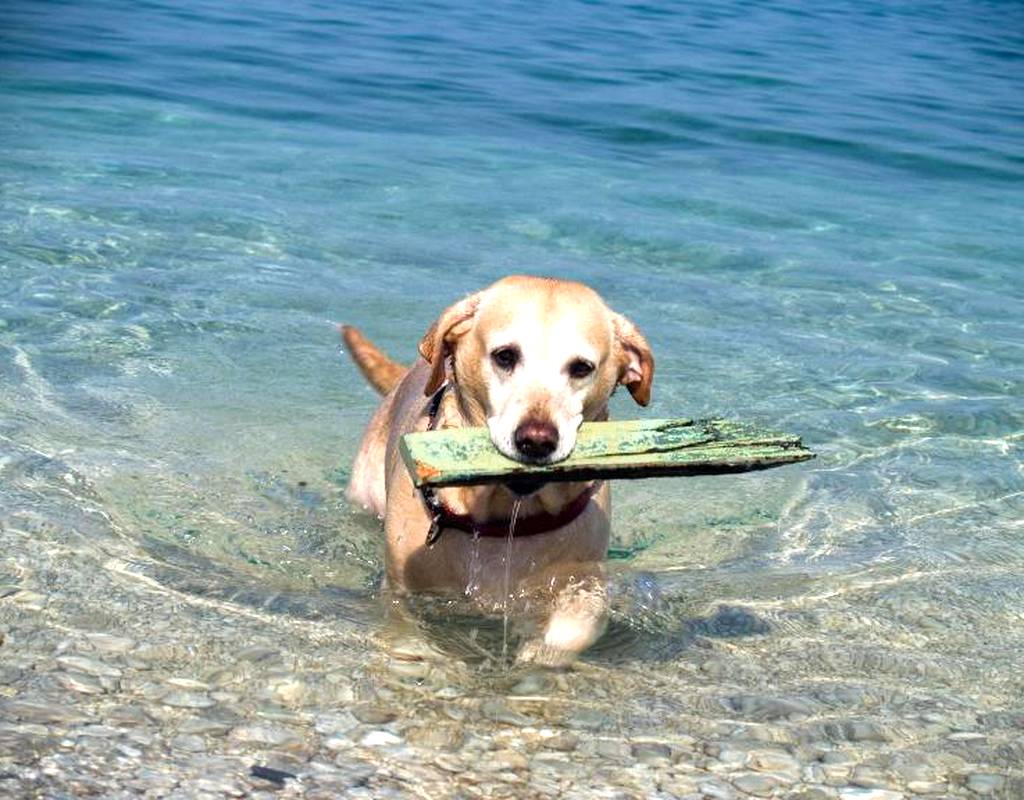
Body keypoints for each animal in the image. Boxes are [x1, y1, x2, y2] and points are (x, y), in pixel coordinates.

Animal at [339, 274, 651, 659]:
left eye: (581, 368)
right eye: (505, 356)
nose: (536, 440)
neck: (501, 516)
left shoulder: (581, 581)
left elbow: (572, 627)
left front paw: (535, 652)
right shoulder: (403, 591)